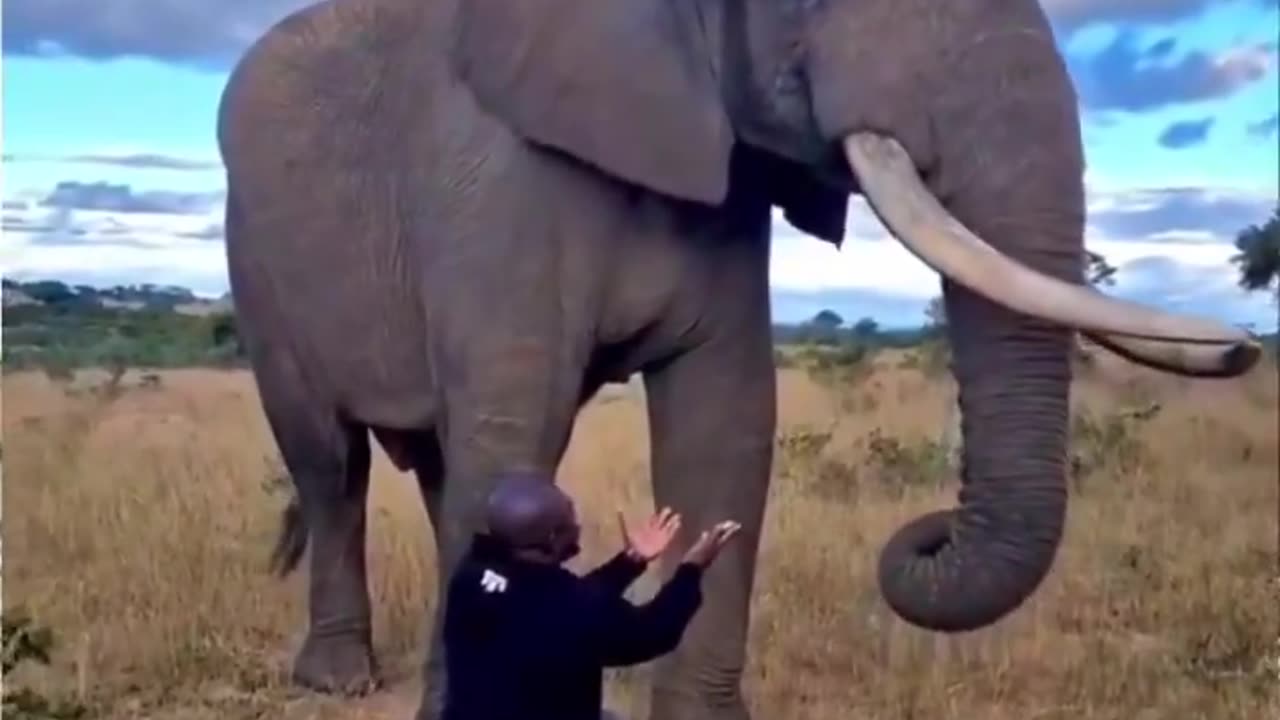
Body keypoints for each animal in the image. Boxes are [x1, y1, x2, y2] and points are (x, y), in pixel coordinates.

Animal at [212, 0, 1259, 712]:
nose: (1245, 348)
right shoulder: (488, 175)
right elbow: (518, 416)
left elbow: (727, 420)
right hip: (258, 265)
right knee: (330, 465)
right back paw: (338, 680)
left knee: (433, 471)